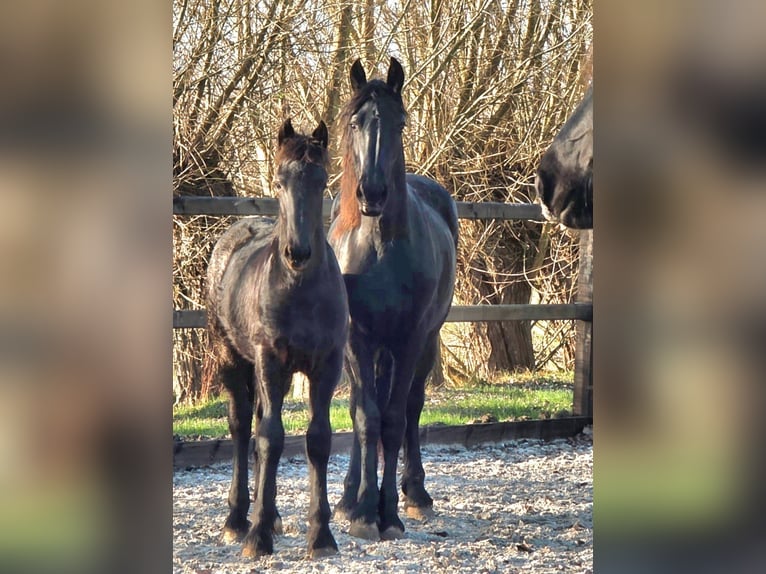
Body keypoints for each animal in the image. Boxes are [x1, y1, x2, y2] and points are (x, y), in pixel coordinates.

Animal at [204, 119, 349, 558]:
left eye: (321, 181)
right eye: (279, 181)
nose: (297, 253)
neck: (300, 291)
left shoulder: (327, 364)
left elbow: (317, 439)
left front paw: (321, 535)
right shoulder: (270, 359)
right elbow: (271, 438)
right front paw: (257, 536)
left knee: (257, 422)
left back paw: (269, 515)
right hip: (233, 360)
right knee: (241, 426)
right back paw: (238, 520)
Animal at [328, 57, 458, 541]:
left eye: (399, 123)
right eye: (356, 121)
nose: (372, 193)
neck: (379, 246)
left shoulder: (410, 338)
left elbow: (395, 417)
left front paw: (388, 512)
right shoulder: (356, 338)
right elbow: (367, 416)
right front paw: (364, 511)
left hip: (427, 342)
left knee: (411, 408)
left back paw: (416, 494)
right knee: (360, 409)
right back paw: (347, 497)